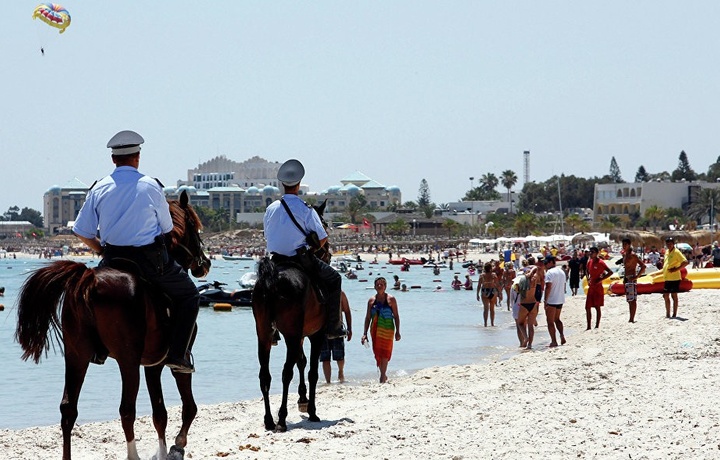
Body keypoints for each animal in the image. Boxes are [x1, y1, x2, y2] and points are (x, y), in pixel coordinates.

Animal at [14, 191, 211, 460]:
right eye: (194, 225)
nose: (205, 263)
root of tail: (90, 280)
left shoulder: (152, 364)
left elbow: (160, 413)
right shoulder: (173, 361)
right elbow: (187, 407)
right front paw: (176, 445)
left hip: (77, 355)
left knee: (69, 410)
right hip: (127, 360)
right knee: (126, 409)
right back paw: (133, 455)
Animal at [253, 201, 332, 432]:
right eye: (324, 225)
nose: (328, 254)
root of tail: (273, 276)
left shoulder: (300, 335)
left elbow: (302, 361)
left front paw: (303, 399)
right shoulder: (315, 335)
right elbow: (312, 370)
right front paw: (311, 409)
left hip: (264, 334)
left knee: (265, 375)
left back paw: (269, 419)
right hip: (290, 334)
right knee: (285, 372)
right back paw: (281, 417)